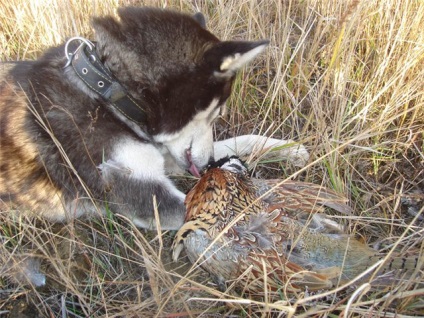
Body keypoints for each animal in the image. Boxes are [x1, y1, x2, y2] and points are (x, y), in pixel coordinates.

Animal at [0, 6, 306, 229]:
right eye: (216, 112)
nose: (209, 164)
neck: (107, 90)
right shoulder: (149, 194)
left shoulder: (166, 156)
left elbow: (240, 140)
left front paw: (287, 149)